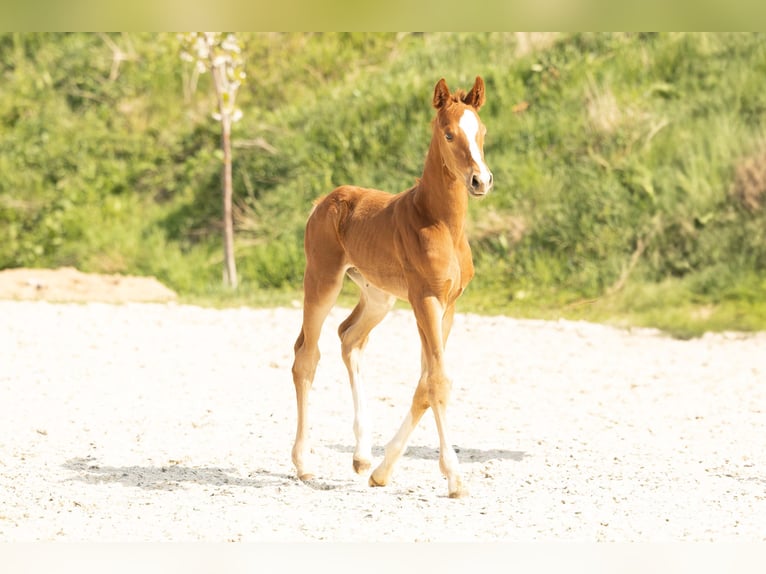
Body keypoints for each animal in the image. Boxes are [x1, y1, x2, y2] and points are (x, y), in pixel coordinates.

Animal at [291, 76, 493, 498]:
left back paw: (362, 456)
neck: (440, 223)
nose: (480, 180)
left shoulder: (449, 304)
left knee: (349, 338)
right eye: (448, 134)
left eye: (481, 131)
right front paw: (454, 477)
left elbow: (425, 382)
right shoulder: (424, 299)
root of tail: (323, 201)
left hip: (377, 296)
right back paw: (303, 464)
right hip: (322, 279)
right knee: (306, 355)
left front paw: (382, 472)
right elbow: (438, 381)